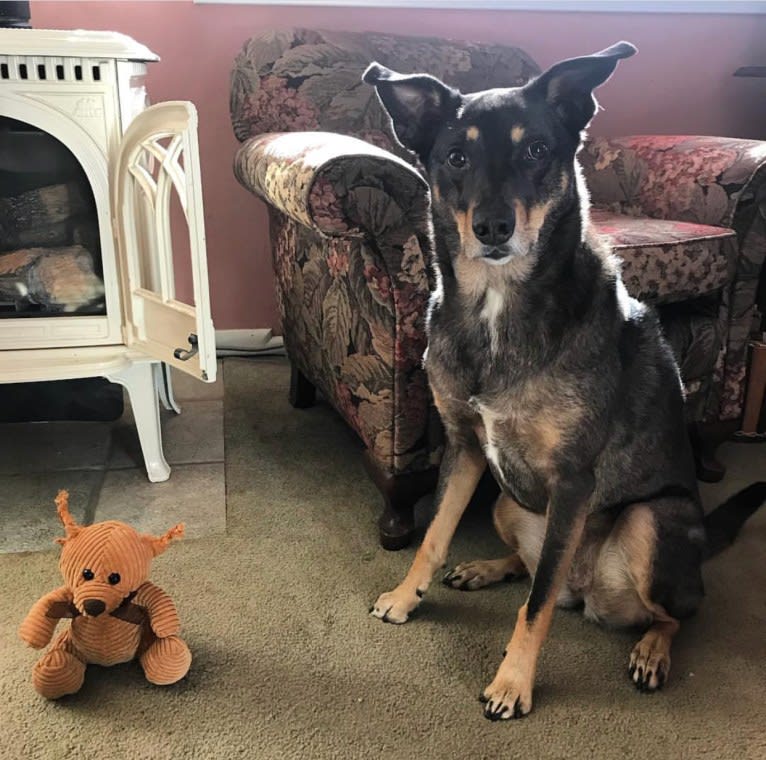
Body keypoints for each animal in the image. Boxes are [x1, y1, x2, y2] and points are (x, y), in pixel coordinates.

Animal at [364, 44, 766, 720]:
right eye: (456, 157)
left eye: (535, 150)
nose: (493, 227)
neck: (496, 309)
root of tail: (592, 592)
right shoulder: (465, 447)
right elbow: (434, 535)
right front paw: (406, 594)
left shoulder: (573, 480)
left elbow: (538, 604)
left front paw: (512, 683)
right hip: (506, 498)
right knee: (536, 569)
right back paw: (487, 567)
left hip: (650, 523)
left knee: (671, 612)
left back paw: (651, 651)